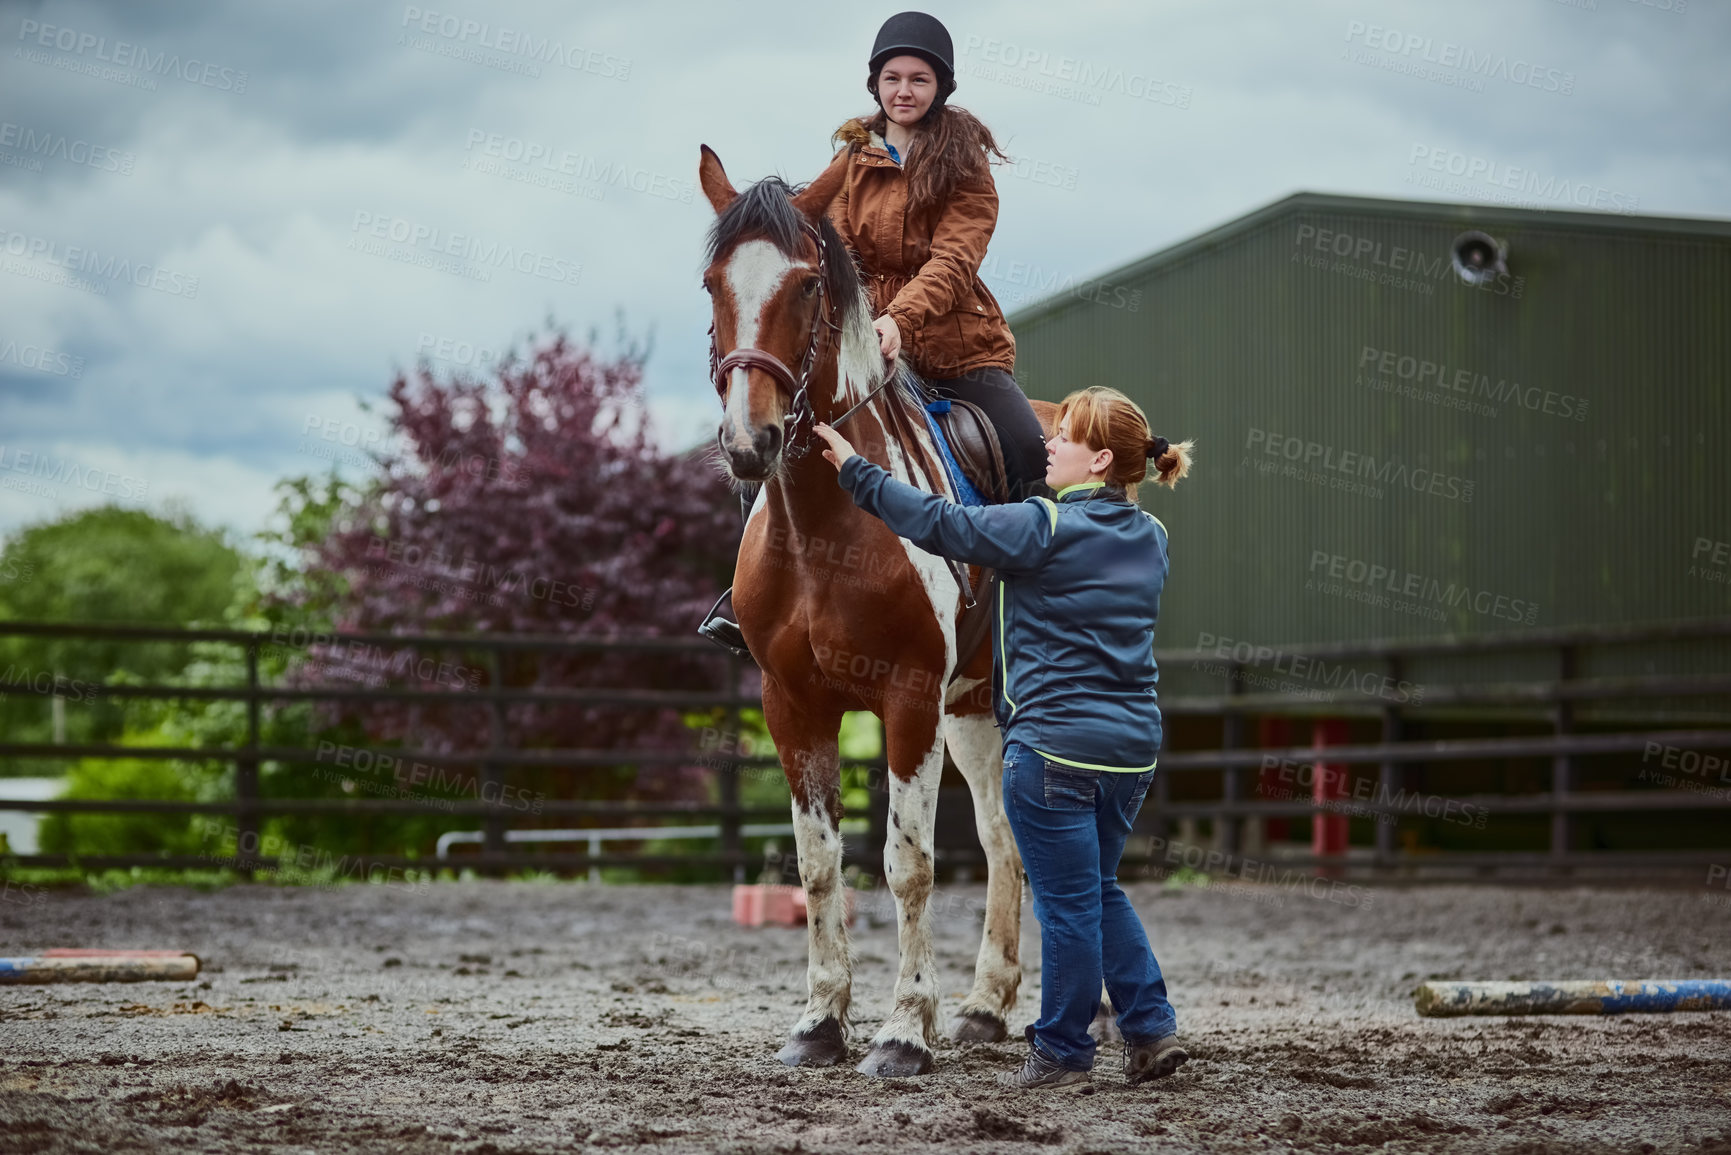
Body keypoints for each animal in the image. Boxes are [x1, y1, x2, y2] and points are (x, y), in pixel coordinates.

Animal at [699, 148, 1052, 1080]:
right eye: (713, 281)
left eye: (806, 286)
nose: (749, 442)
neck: (826, 527)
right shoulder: (793, 703)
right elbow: (820, 862)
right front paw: (820, 1021)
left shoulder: (906, 698)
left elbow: (908, 865)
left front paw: (901, 1031)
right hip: (971, 709)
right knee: (1003, 840)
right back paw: (984, 1006)